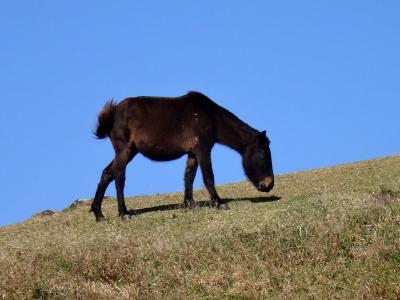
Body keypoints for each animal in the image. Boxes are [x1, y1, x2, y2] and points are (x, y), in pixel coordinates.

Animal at [89, 90, 274, 221]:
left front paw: (189, 203)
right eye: (263, 155)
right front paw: (219, 203)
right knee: (119, 178)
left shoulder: (192, 152)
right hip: (124, 151)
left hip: (130, 152)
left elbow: (189, 177)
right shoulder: (202, 149)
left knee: (107, 174)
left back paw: (99, 214)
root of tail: (113, 113)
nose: (269, 185)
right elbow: (208, 177)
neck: (210, 116)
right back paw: (123, 213)